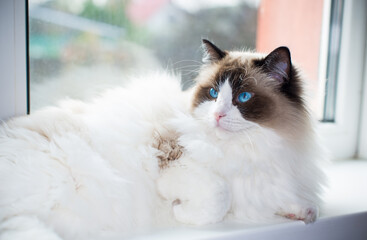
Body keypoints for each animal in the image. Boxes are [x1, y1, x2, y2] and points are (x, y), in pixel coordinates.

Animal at [0, 39, 324, 240]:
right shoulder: (176, 160)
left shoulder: (262, 186)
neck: (255, 148)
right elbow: (219, 196)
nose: (217, 115)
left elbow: (284, 201)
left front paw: (304, 213)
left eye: (243, 97)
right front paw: (179, 210)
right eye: (213, 94)